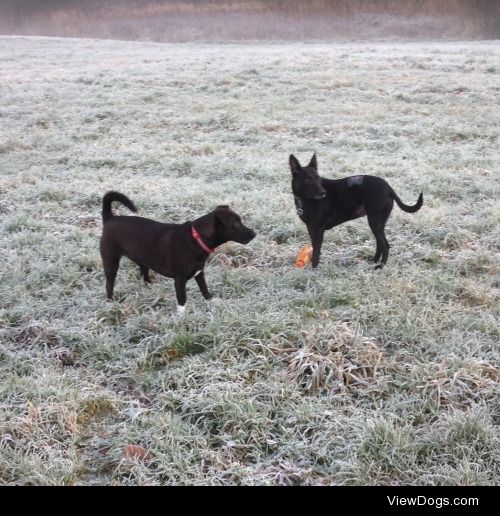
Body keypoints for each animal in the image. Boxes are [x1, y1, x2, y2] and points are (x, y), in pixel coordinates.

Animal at [99, 191, 256, 312]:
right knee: (109, 285)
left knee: (144, 274)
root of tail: (110, 218)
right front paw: (181, 321)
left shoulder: (199, 273)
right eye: (235, 224)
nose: (254, 234)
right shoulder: (180, 280)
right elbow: (182, 303)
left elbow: (205, 290)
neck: (196, 238)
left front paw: (212, 303)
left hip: (142, 258)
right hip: (110, 262)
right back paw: (111, 303)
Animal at [290, 153, 422, 268]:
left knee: (385, 245)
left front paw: (314, 270)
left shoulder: (318, 230)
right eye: (307, 180)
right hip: (379, 222)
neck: (305, 199)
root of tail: (388, 187)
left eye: (318, 178)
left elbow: (316, 252)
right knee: (380, 243)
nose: (323, 193)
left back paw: (380, 266)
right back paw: (374, 261)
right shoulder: (311, 228)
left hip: (374, 220)